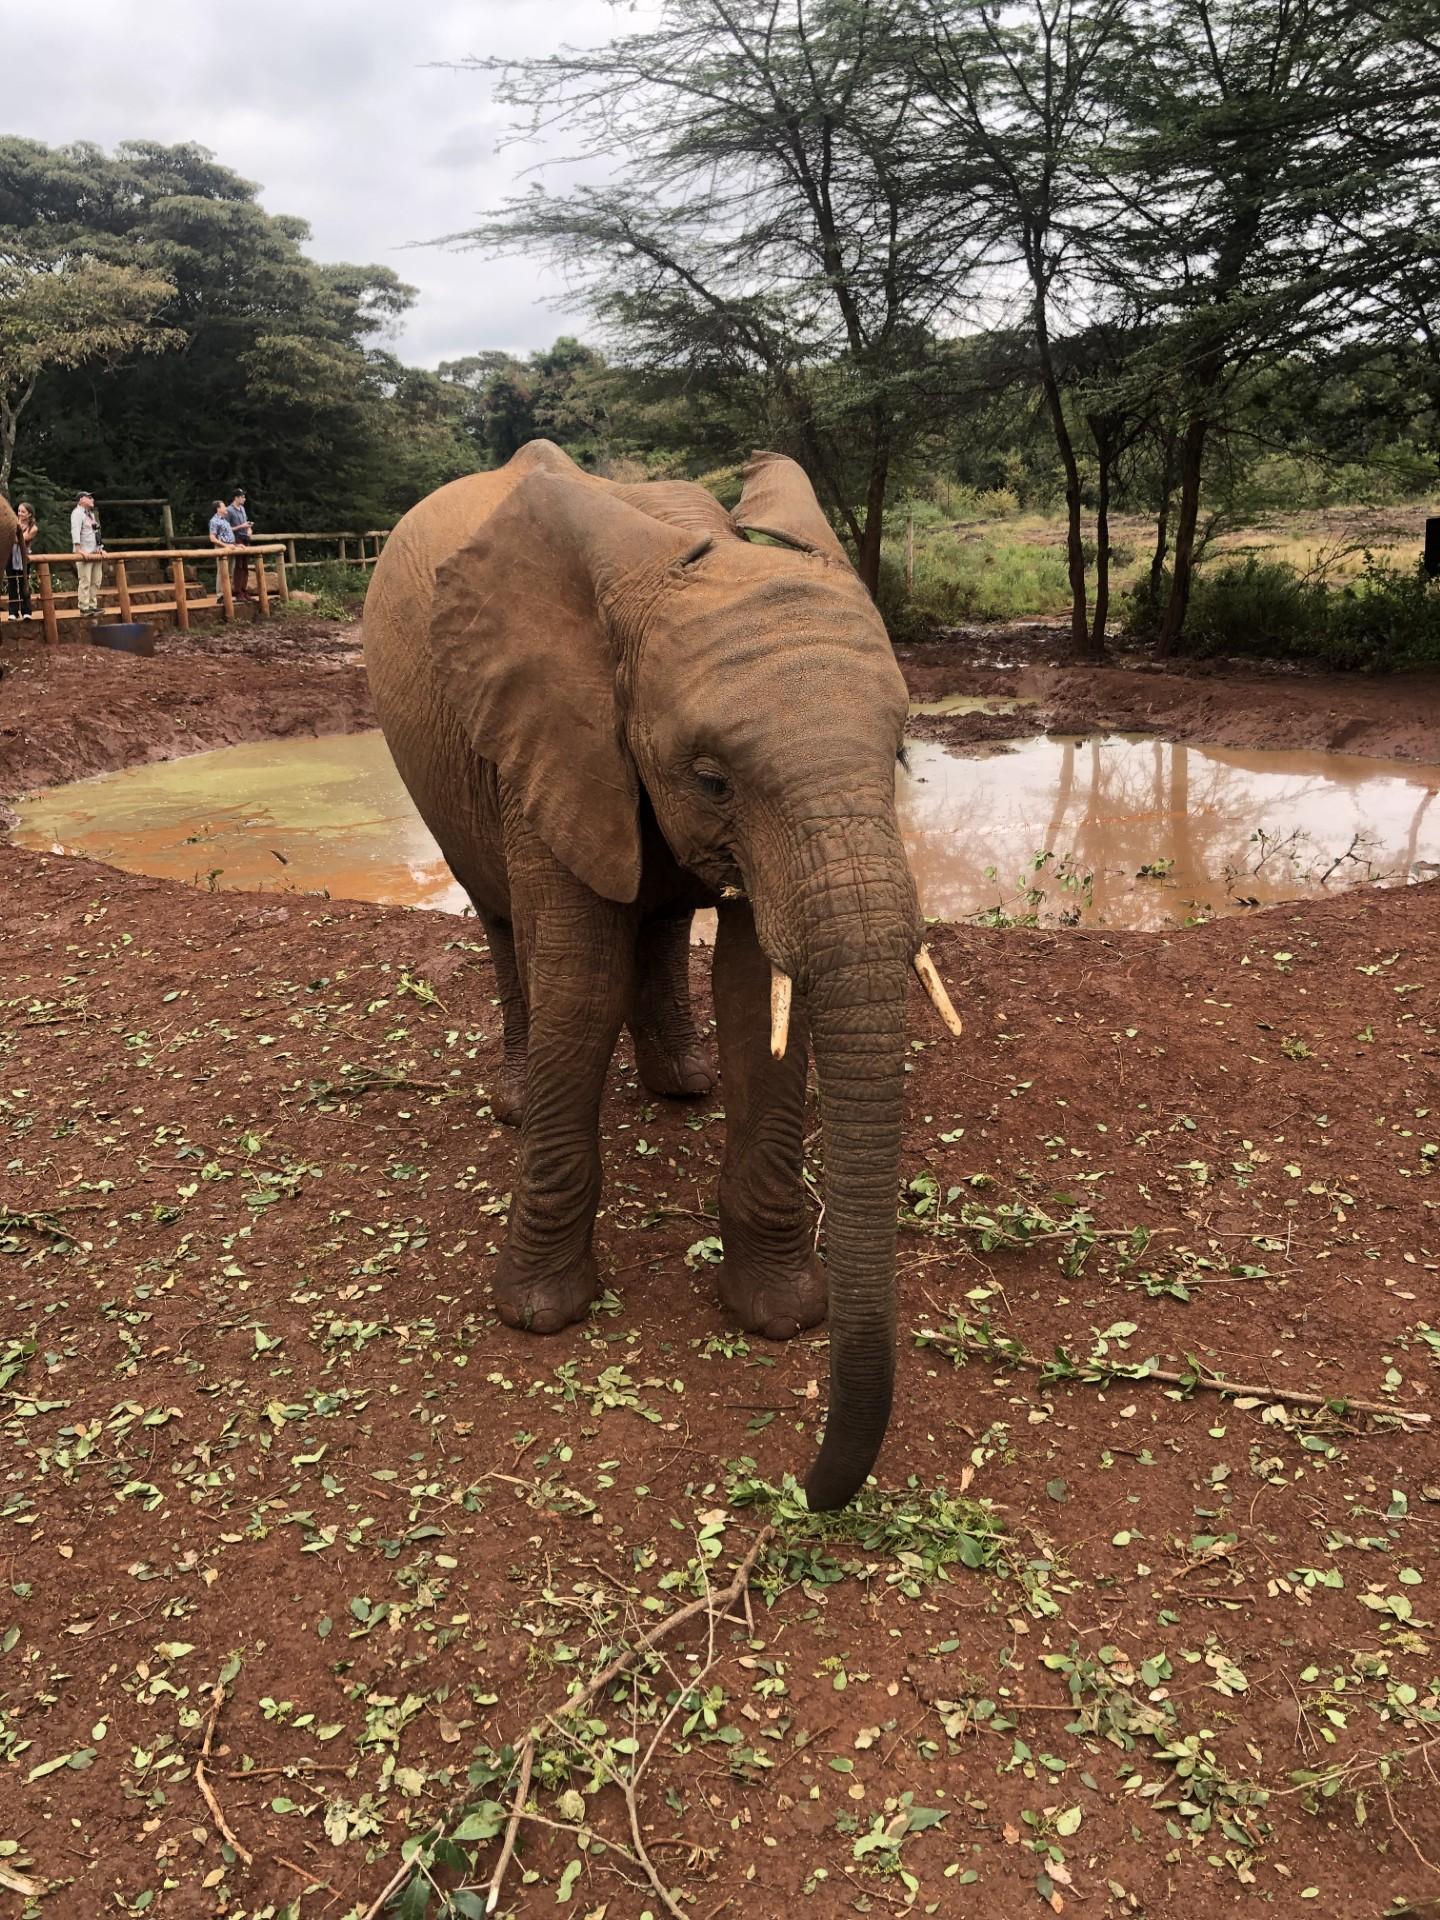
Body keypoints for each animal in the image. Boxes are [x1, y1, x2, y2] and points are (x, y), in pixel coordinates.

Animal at [362, 440, 960, 1509]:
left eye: (899, 752)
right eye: (712, 778)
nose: (806, 1488)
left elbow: (758, 990)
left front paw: (778, 1317)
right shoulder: (549, 742)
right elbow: (579, 982)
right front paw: (540, 1316)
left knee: (664, 915)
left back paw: (683, 1085)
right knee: (502, 923)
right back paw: (518, 1097)